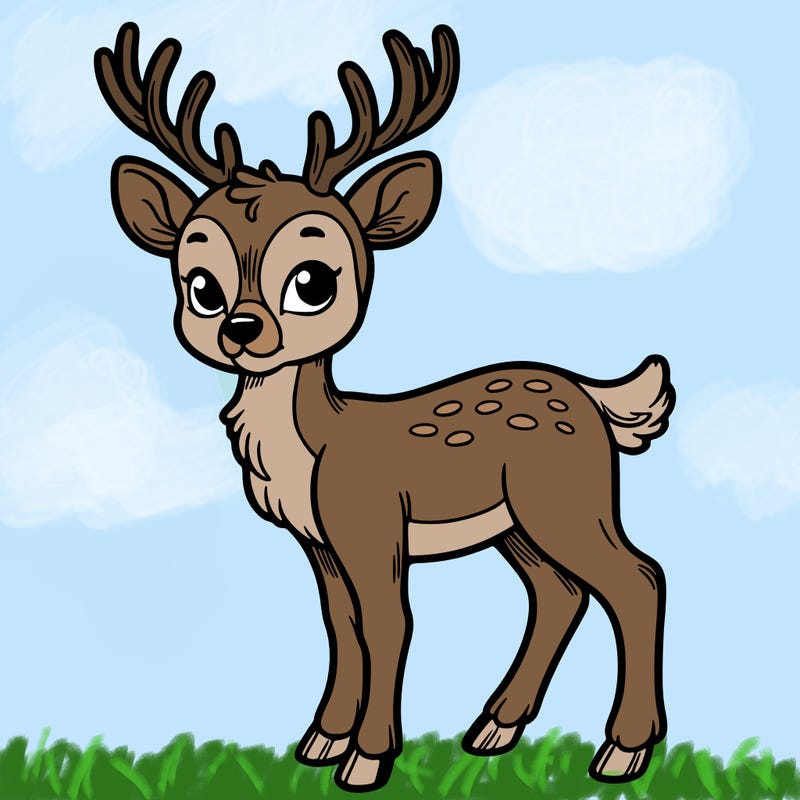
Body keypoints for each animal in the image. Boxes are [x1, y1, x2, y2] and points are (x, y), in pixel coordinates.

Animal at [95, 21, 674, 792]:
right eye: (200, 285)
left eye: (313, 280)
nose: (241, 329)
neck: (313, 448)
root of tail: (592, 394)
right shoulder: (319, 540)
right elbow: (339, 626)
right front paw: (320, 742)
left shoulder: (369, 521)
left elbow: (387, 624)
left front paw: (367, 759)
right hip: (515, 523)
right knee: (559, 593)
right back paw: (494, 729)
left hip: (567, 495)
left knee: (637, 579)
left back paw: (622, 751)